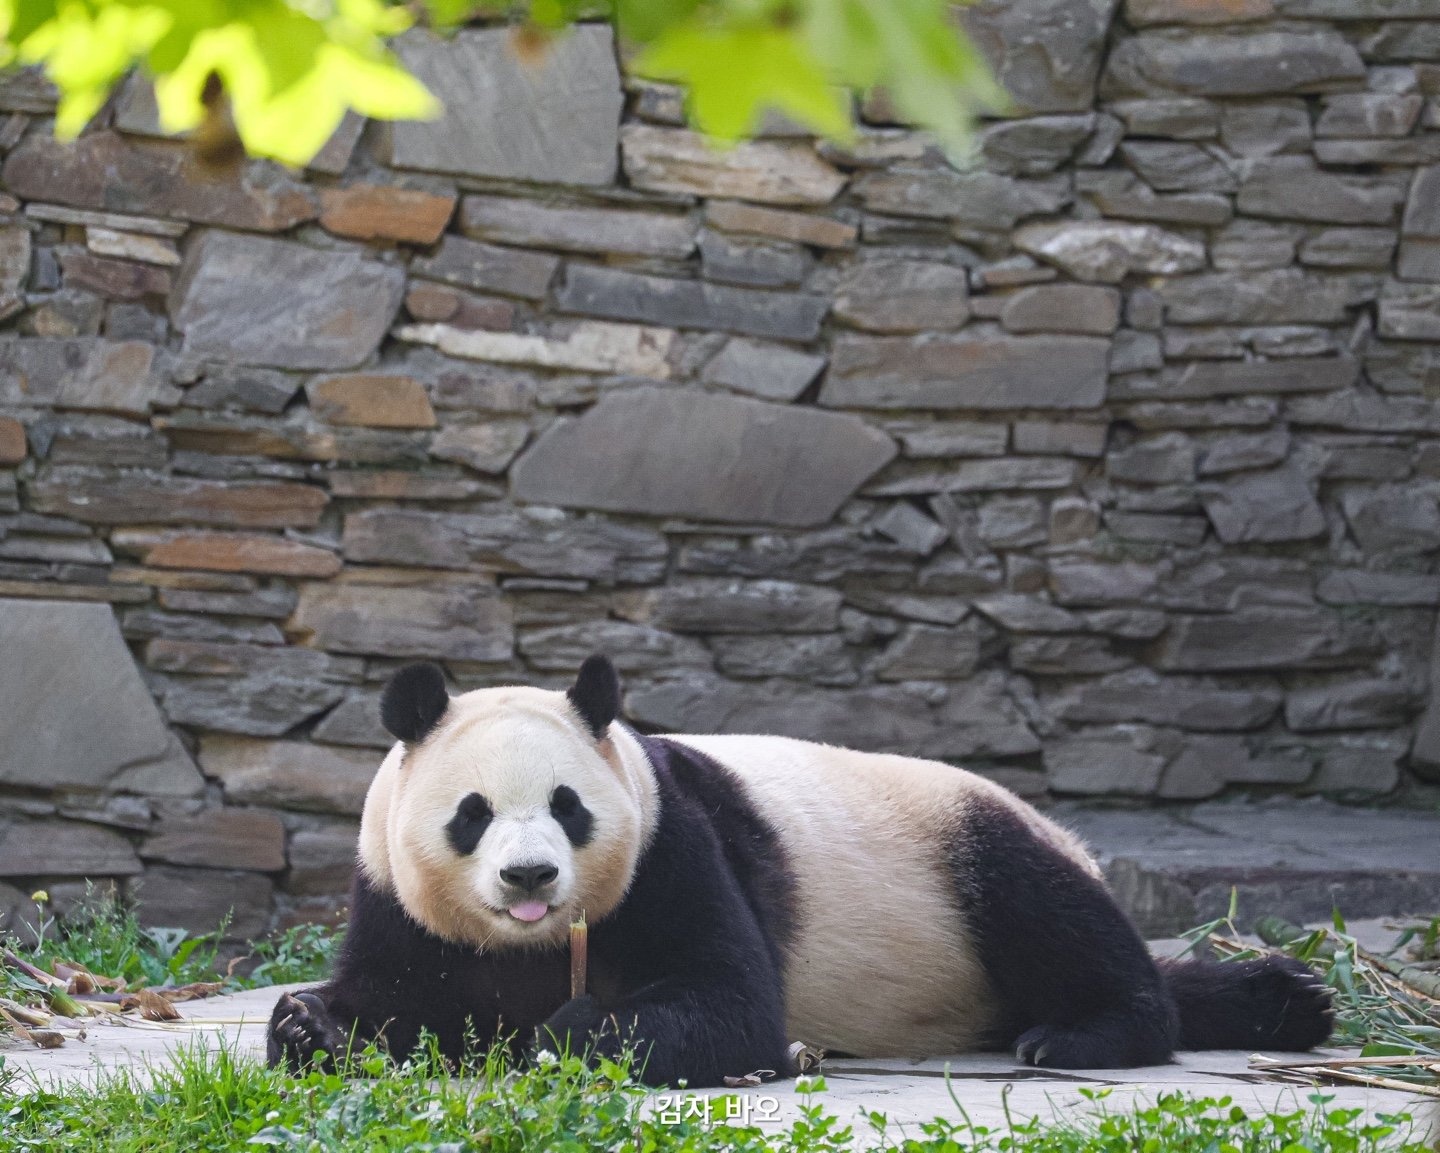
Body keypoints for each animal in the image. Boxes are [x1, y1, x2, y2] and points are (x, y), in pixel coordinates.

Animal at [267, 656, 1324, 1088]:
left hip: (967, 838)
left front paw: (569, 1031)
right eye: (472, 813)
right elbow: (392, 997)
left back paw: (1082, 1032)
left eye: (569, 805)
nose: (530, 879)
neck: (523, 946)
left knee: (1056, 919)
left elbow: (728, 1001)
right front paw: (307, 1025)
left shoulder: (673, 850)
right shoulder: (397, 895)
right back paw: (1286, 999)